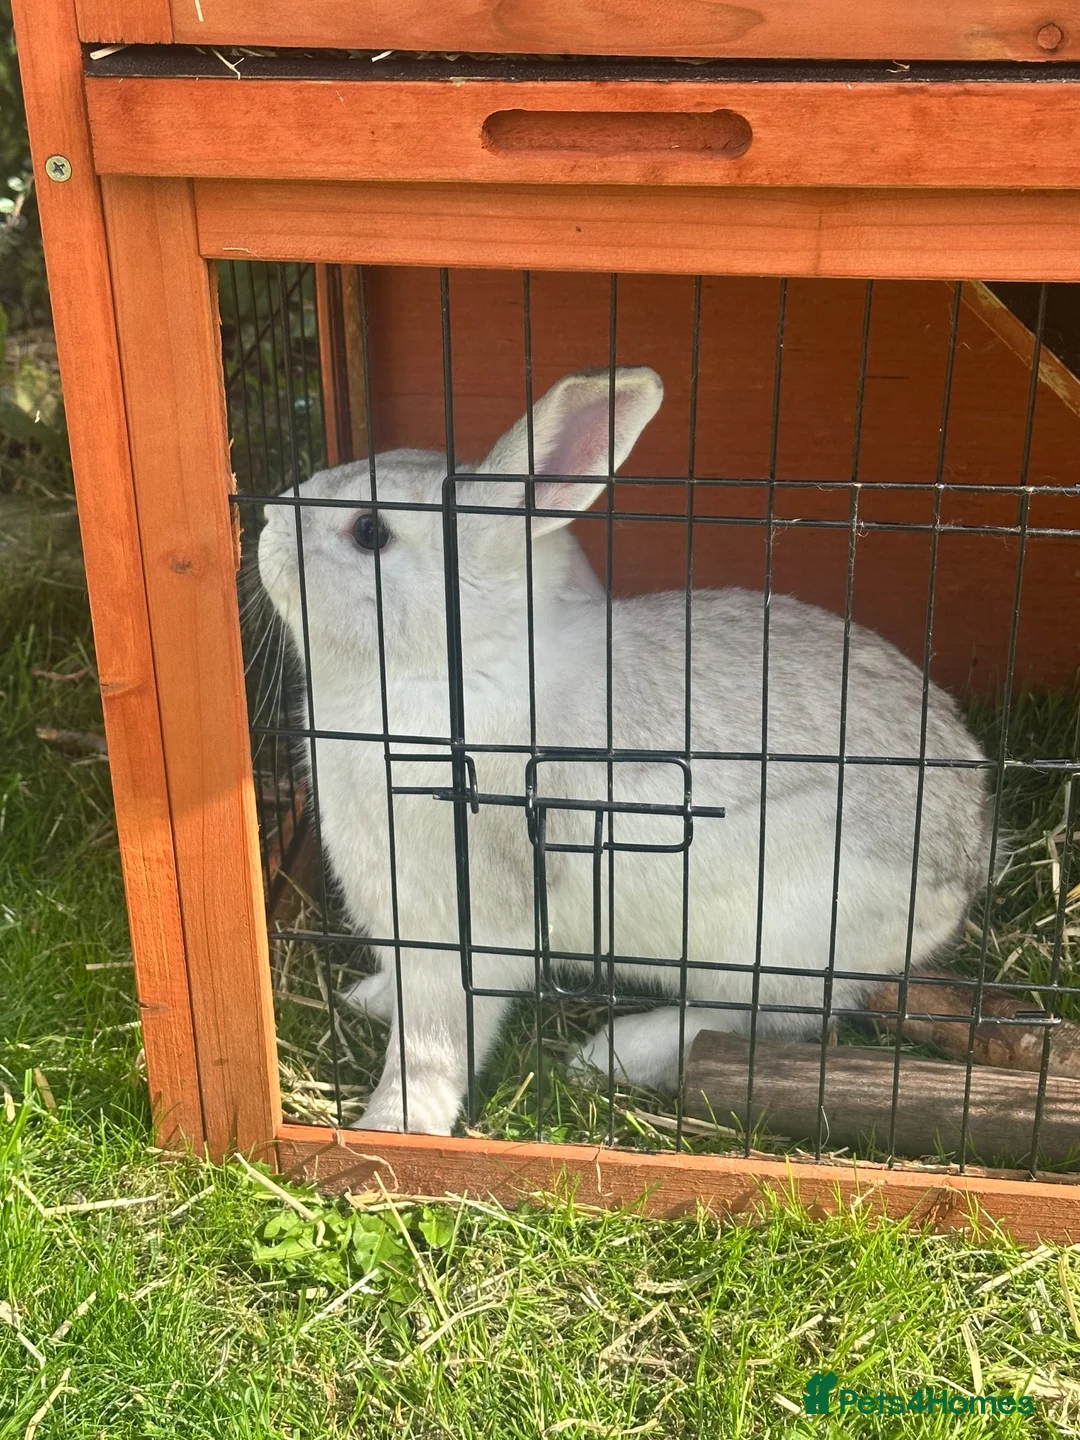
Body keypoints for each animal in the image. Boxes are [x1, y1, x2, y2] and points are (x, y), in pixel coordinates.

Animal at [258, 366, 993, 1136]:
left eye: (369, 531)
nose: (267, 519)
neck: (464, 666)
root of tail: (970, 861)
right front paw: (370, 999)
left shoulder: (459, 928)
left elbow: (432, 1044)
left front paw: (392, 1127)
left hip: (766, 940)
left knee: (767, 1017)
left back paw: (615, 1052)